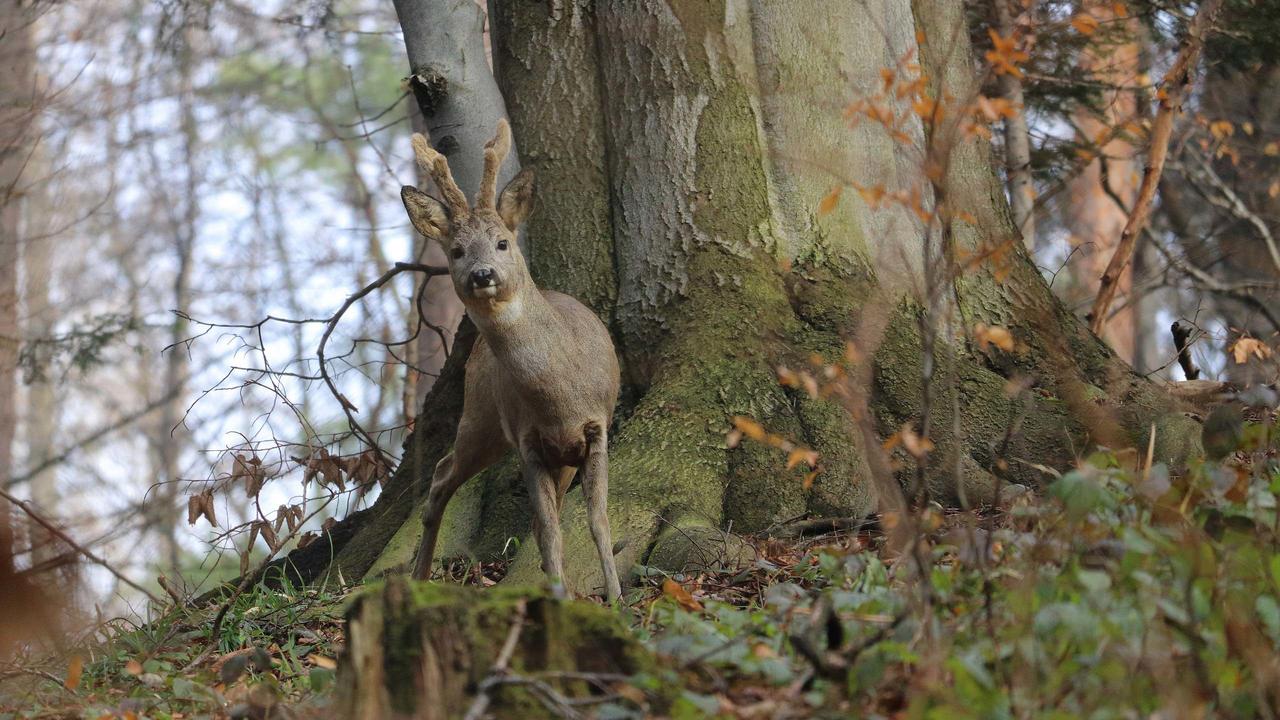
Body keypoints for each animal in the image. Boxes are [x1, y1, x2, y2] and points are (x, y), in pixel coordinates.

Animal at [396, 119, 622, 599]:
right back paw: (419, 576)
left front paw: (616, 598)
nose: (482, 274)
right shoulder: (526, 438)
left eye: (502, 242)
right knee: (441, 476)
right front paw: (563, 598)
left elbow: (596, 520)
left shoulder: (596, 428)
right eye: (456, 251)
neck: (560, 395)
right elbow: (552, 528)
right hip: (480, 418)